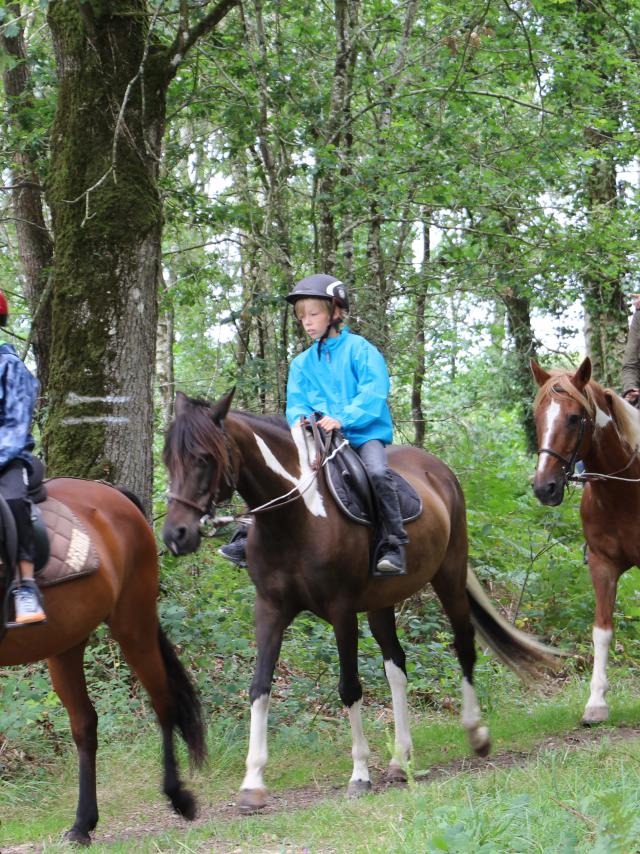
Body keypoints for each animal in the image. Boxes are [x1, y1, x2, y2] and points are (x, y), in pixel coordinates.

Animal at [0, 478, 205, 844]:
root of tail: (110, 492)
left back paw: (178, 796)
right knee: (84, 724)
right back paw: (83, 824)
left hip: (133, 626)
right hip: (66, 645)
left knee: (163, 704)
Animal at [162, 392, 556, 812]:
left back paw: (476, 733)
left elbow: (349, 687)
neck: (296, 518)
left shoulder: (341, 612)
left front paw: (360, 775)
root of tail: (439, 471)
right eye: (169, 459)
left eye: (204, 458)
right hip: (381, 602)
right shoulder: (269, 609)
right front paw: (252, 782)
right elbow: (259, 687)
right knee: (396, 666)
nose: (175, 535)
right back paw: (400, 760)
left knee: (463, 646)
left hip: (448, 576)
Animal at [528, 358, 640, 724]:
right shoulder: (603, 565)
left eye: (575, 418)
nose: (544, 488)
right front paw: (596, 702)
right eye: (537, 417)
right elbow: (601, 631)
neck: (625, 491)